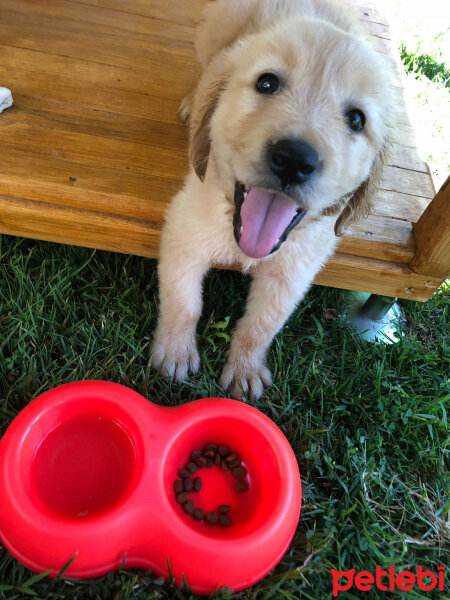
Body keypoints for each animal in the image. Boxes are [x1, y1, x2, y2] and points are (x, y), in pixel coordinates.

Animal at [151, 1, 390, 404]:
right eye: (267, 83)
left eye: (356, 119)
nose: (294, 159)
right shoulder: (184, 234)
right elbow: (184, 302)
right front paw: (175, 352)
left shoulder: (292, 274)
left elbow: (260, 326)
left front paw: (245, 369)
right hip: (214, 31)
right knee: (205, 70)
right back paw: (192, 102)